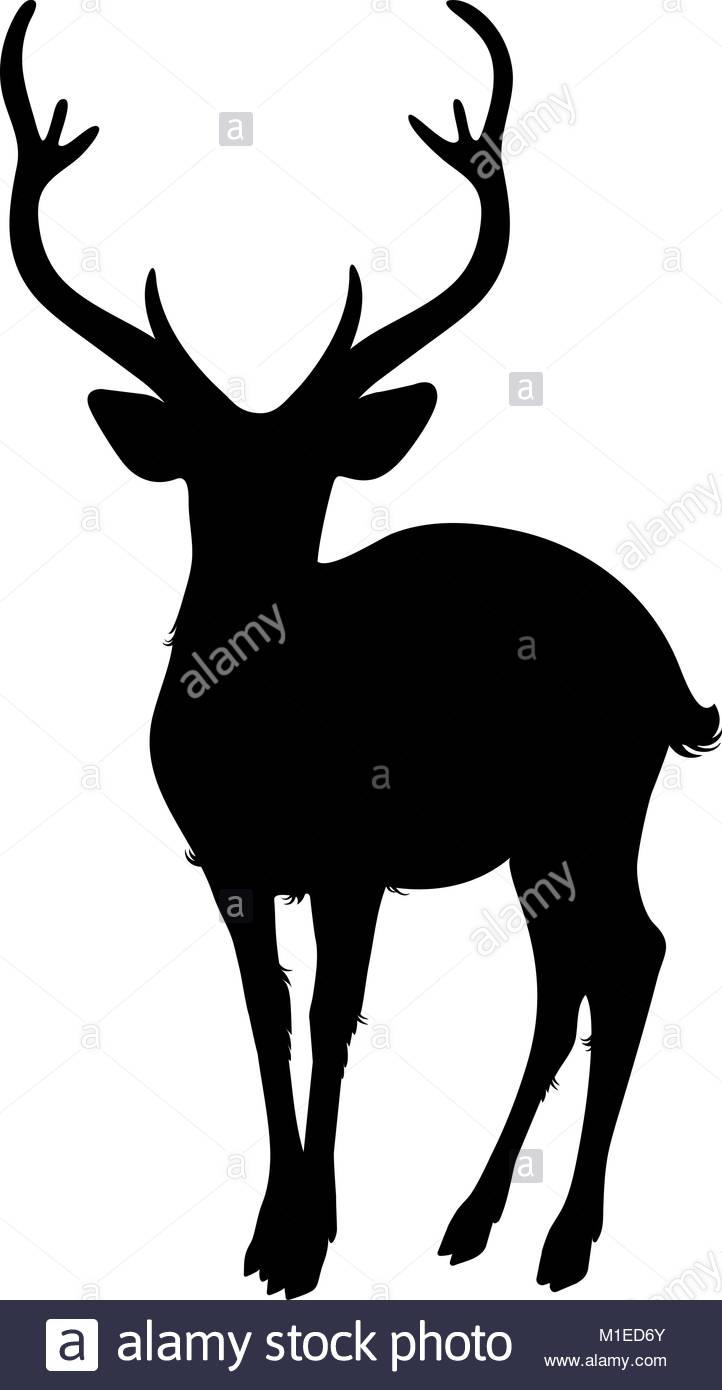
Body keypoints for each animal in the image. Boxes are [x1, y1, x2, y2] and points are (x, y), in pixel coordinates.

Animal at [2, 0, 718, 1300]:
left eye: (315, 478)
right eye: (206, 476)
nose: (265, 594)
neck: (260, 748)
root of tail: (674, 678)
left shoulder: (352, 851)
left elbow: (336, 1015)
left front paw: (305, 1243)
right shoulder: (224, 859)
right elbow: (264, 1016)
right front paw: (264, 1231)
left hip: (601, 795)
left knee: (631, 951)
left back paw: (565, 1239)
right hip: (536, 832)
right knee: (565, 973)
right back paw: (472, 1219)